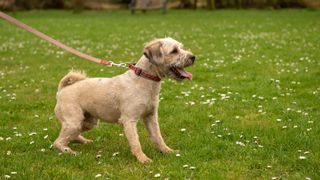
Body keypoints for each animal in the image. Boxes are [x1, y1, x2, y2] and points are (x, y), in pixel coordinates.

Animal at [53, 37, 195, 163]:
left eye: (181, 47)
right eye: (174, 51)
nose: (193, 57)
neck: (143, 80)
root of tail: (62, 90)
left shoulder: (151, 117)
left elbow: (158, 137)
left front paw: (167, 151)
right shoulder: (129, 120)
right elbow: (136, 142)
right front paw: (143, 159)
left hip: (88, 122)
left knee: (70, 136)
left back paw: (83, 141)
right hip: (74, 122)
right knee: (57, 142)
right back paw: (70, 152)